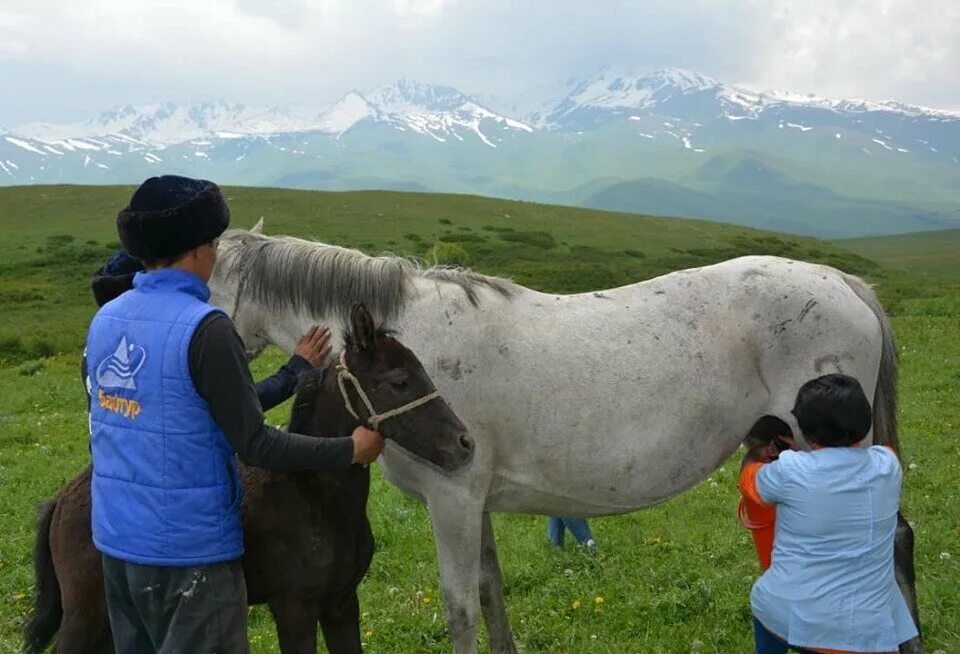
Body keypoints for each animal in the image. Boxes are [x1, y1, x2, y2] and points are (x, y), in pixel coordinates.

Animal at [212, 224, 924, 654]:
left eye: (206, 289)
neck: (417, 337)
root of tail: (843, 283)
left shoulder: (452, 499)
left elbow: (459, 605)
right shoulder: (474, 503)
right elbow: (491, 591)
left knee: (886, 544)